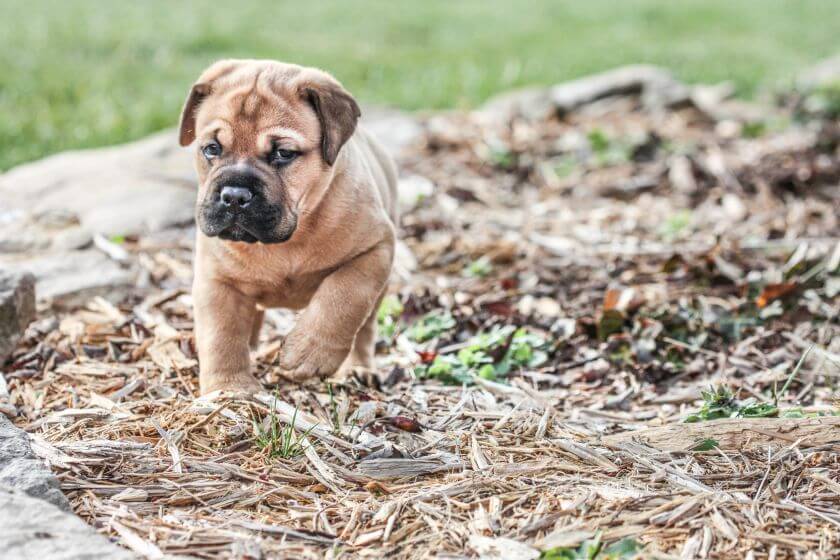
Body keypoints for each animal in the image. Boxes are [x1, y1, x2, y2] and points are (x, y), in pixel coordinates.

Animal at [176, 59, 398, 394]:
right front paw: (230, 388)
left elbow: (343, 296)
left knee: (365, 328)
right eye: (212, 149)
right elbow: (222, 335)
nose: (234, 195)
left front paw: (310, 352)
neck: (289, 239)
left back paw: (359, 368)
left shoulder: (375, 248)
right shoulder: (217, 280)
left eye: (283, 154)